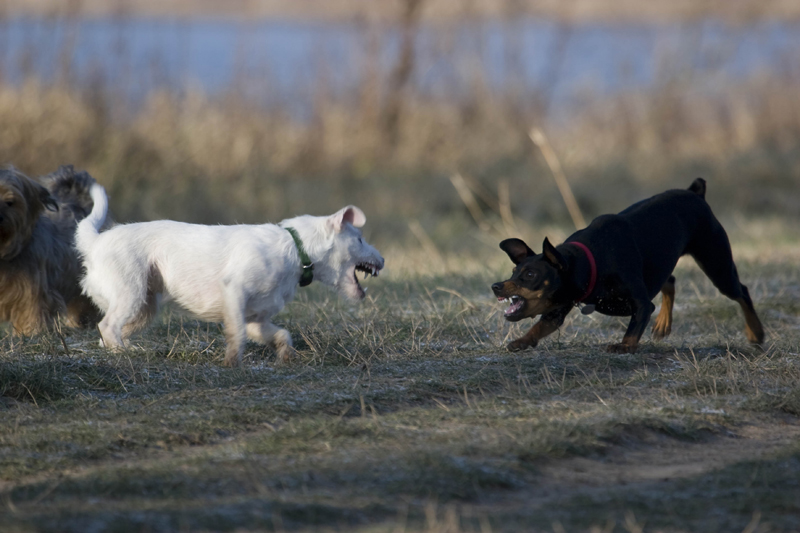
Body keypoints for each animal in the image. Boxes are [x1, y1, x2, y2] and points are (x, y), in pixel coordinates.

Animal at [75, 184, 384, 366]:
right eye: (359, 239)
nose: (382, 259)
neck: (295, 248)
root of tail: (94, 242)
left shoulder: (256, 317)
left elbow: (280, 334)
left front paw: (286, 354)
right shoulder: (235, 293)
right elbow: (237, 335)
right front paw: (232, 362)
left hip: (145, 307)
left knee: (107, 333)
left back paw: (128, 350)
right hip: (131, 293)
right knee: (107, 326)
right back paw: (124, 354)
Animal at [494, 179, 764, 354]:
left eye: (530, 274)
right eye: (514, 272)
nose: (496, 286)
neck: (591, 262)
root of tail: (695, 192)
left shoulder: (642, 303)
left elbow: (635, 326)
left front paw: (624, 345)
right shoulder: (557, 309)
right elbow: (540, 327)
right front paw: (522, 341)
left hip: (717, 264)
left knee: (742, 292)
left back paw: (756, 333)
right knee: (670, 280)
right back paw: (663, 323)